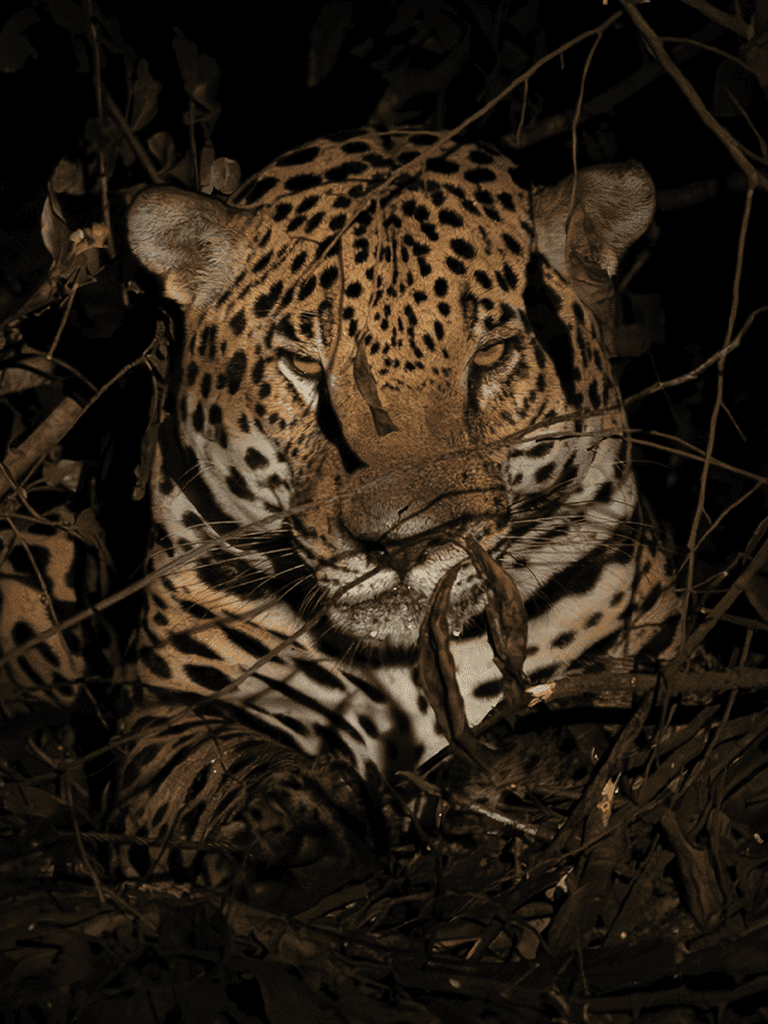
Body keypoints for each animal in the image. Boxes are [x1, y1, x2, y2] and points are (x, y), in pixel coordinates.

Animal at [117, 127, 680, 892]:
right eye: (305, 364)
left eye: (492, 355)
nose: (404, 544)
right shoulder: (164, 712)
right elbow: (212, 764)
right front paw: (292, 821)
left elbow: (604, 717)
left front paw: (501, 769)